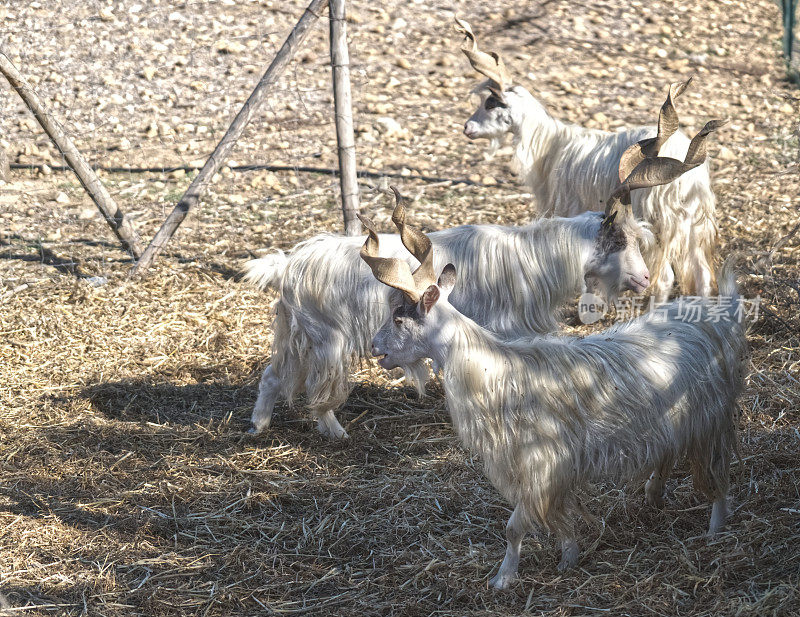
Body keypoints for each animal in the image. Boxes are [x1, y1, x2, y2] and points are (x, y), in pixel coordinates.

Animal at [364, 220, 752, 588]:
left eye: (399, 318)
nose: (374, 348)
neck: (496, 370)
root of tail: (720, 316)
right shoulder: (548, 468)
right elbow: (557, 515)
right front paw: (569, 558)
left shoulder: (543, 461)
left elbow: (514, 526)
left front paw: (503, 578)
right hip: (675, 418)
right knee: (670, 452)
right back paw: (654, 493)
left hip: (711, 417)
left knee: (718, 473)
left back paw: (715, 530)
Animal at [454, 20, 720, 304]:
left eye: (491, 103)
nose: (467, 128)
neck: (551, 145)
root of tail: (689, 182)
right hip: (692, 227)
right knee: (703, 276)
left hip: (660, 227)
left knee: (664, 279)